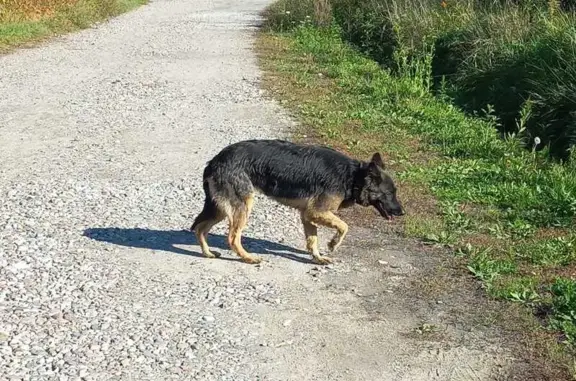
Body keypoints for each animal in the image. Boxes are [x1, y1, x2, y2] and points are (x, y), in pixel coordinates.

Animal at [190, 139, 404, 264]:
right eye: (389, 193)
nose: (402, 212)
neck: (353, 177)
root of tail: (215, 161)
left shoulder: (308, 215)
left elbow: (312, 239)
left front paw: (318, 258)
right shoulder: (316, 212)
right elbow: (344, 226)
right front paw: (333, 244)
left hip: (221, 208)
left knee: (200, 228)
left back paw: (208, 253)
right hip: (242, 206)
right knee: (232, 238)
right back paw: (249, 258)